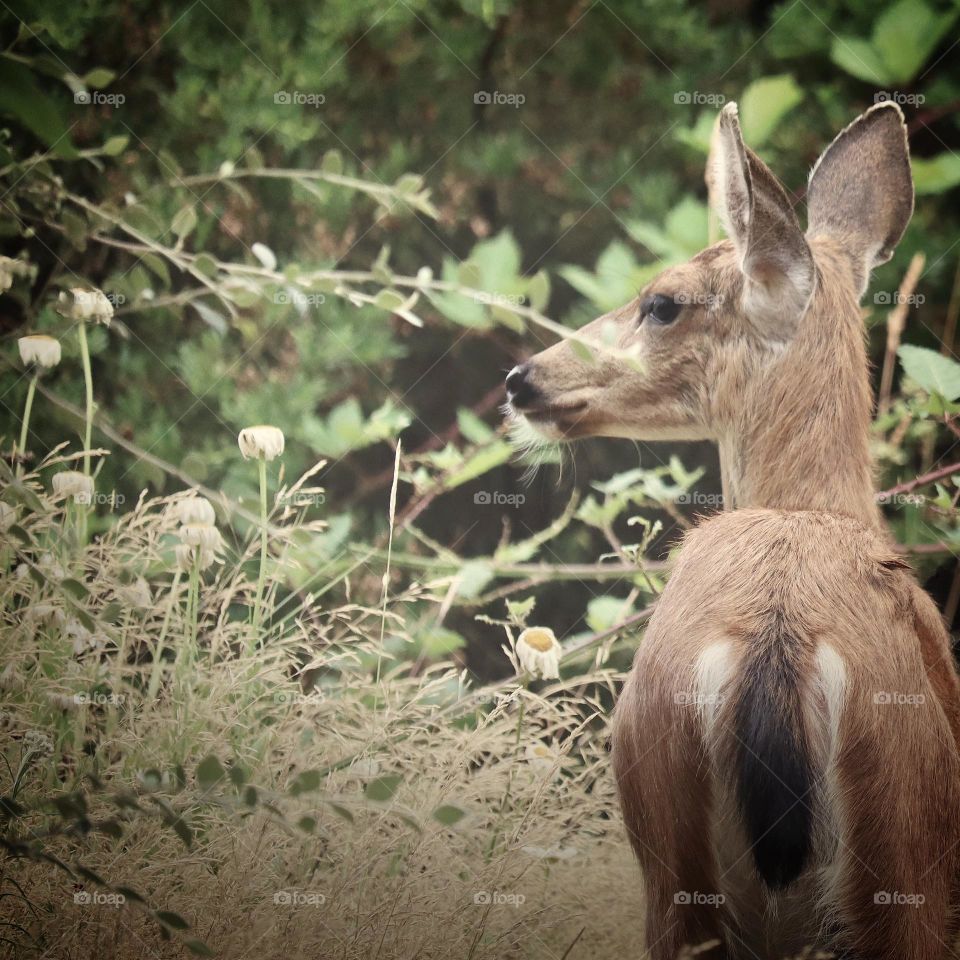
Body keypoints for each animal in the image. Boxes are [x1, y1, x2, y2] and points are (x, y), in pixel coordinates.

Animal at [502, 101, 960, 956]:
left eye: (661, 302)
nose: (523, 379)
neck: (811, 505)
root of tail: (775, 648)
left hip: (673, 858)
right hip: (906, 857)